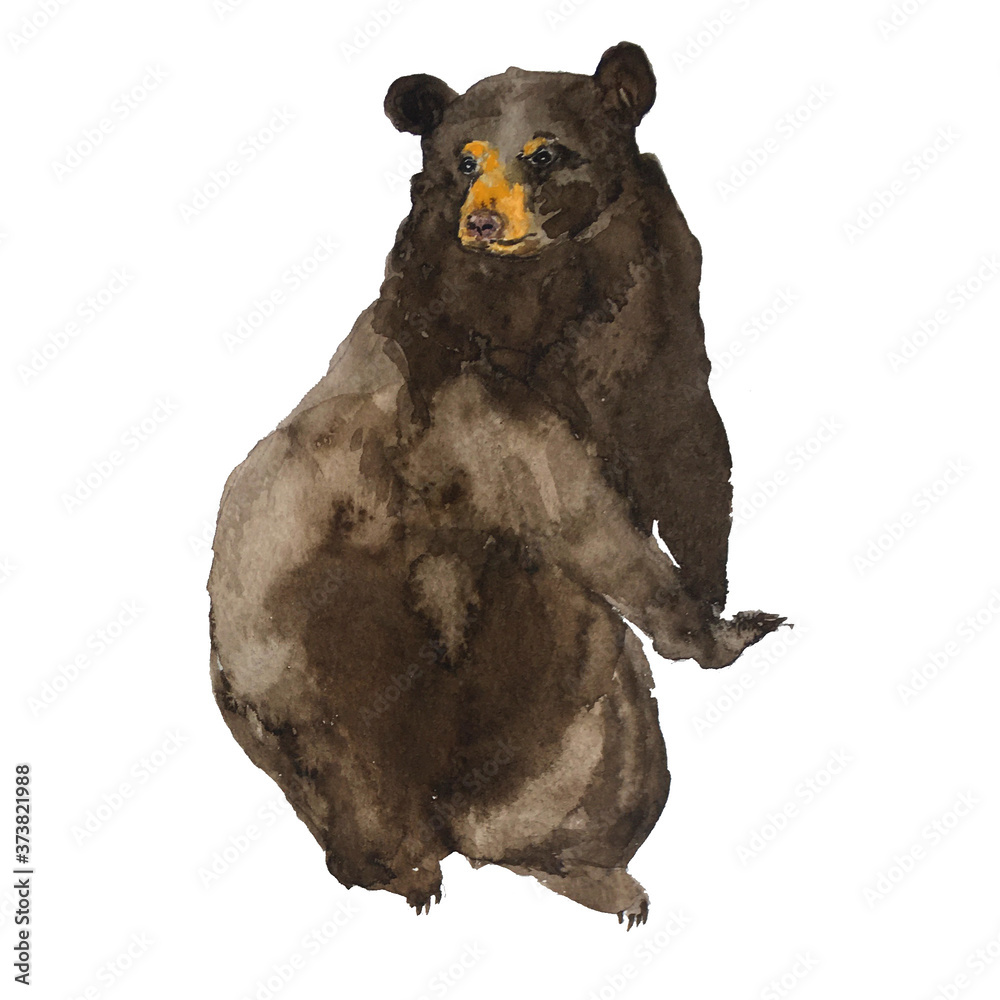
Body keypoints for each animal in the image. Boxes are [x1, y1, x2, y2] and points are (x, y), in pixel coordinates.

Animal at [208, 41, 784, 928]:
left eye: (545, 153)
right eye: (464, 160)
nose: (482, 222)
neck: (557, 290)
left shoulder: (658, 308)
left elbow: (686, 439)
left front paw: (725, 597)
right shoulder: (467, 387)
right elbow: (571, 500)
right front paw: (716, 628)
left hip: (562, 682)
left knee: (598, 758)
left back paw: (584, 872)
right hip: (301, 663)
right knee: (359, 787)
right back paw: (409, 876)